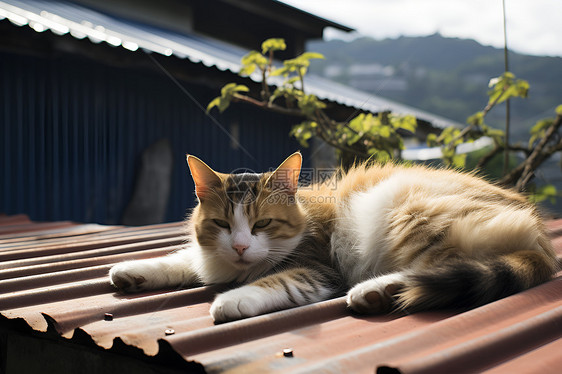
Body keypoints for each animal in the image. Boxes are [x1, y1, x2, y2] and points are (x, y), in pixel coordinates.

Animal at [108, 152, 556, 322]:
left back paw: (374, 290)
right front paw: (133, 270)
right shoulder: (210, 255)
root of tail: (538, 232)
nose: (239, 246)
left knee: (437, 266)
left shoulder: (319, 269)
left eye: (262, 224)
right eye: (221, 224)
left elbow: (278, 282)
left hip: (409, 210)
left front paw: (232, 300)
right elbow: (183, 259)